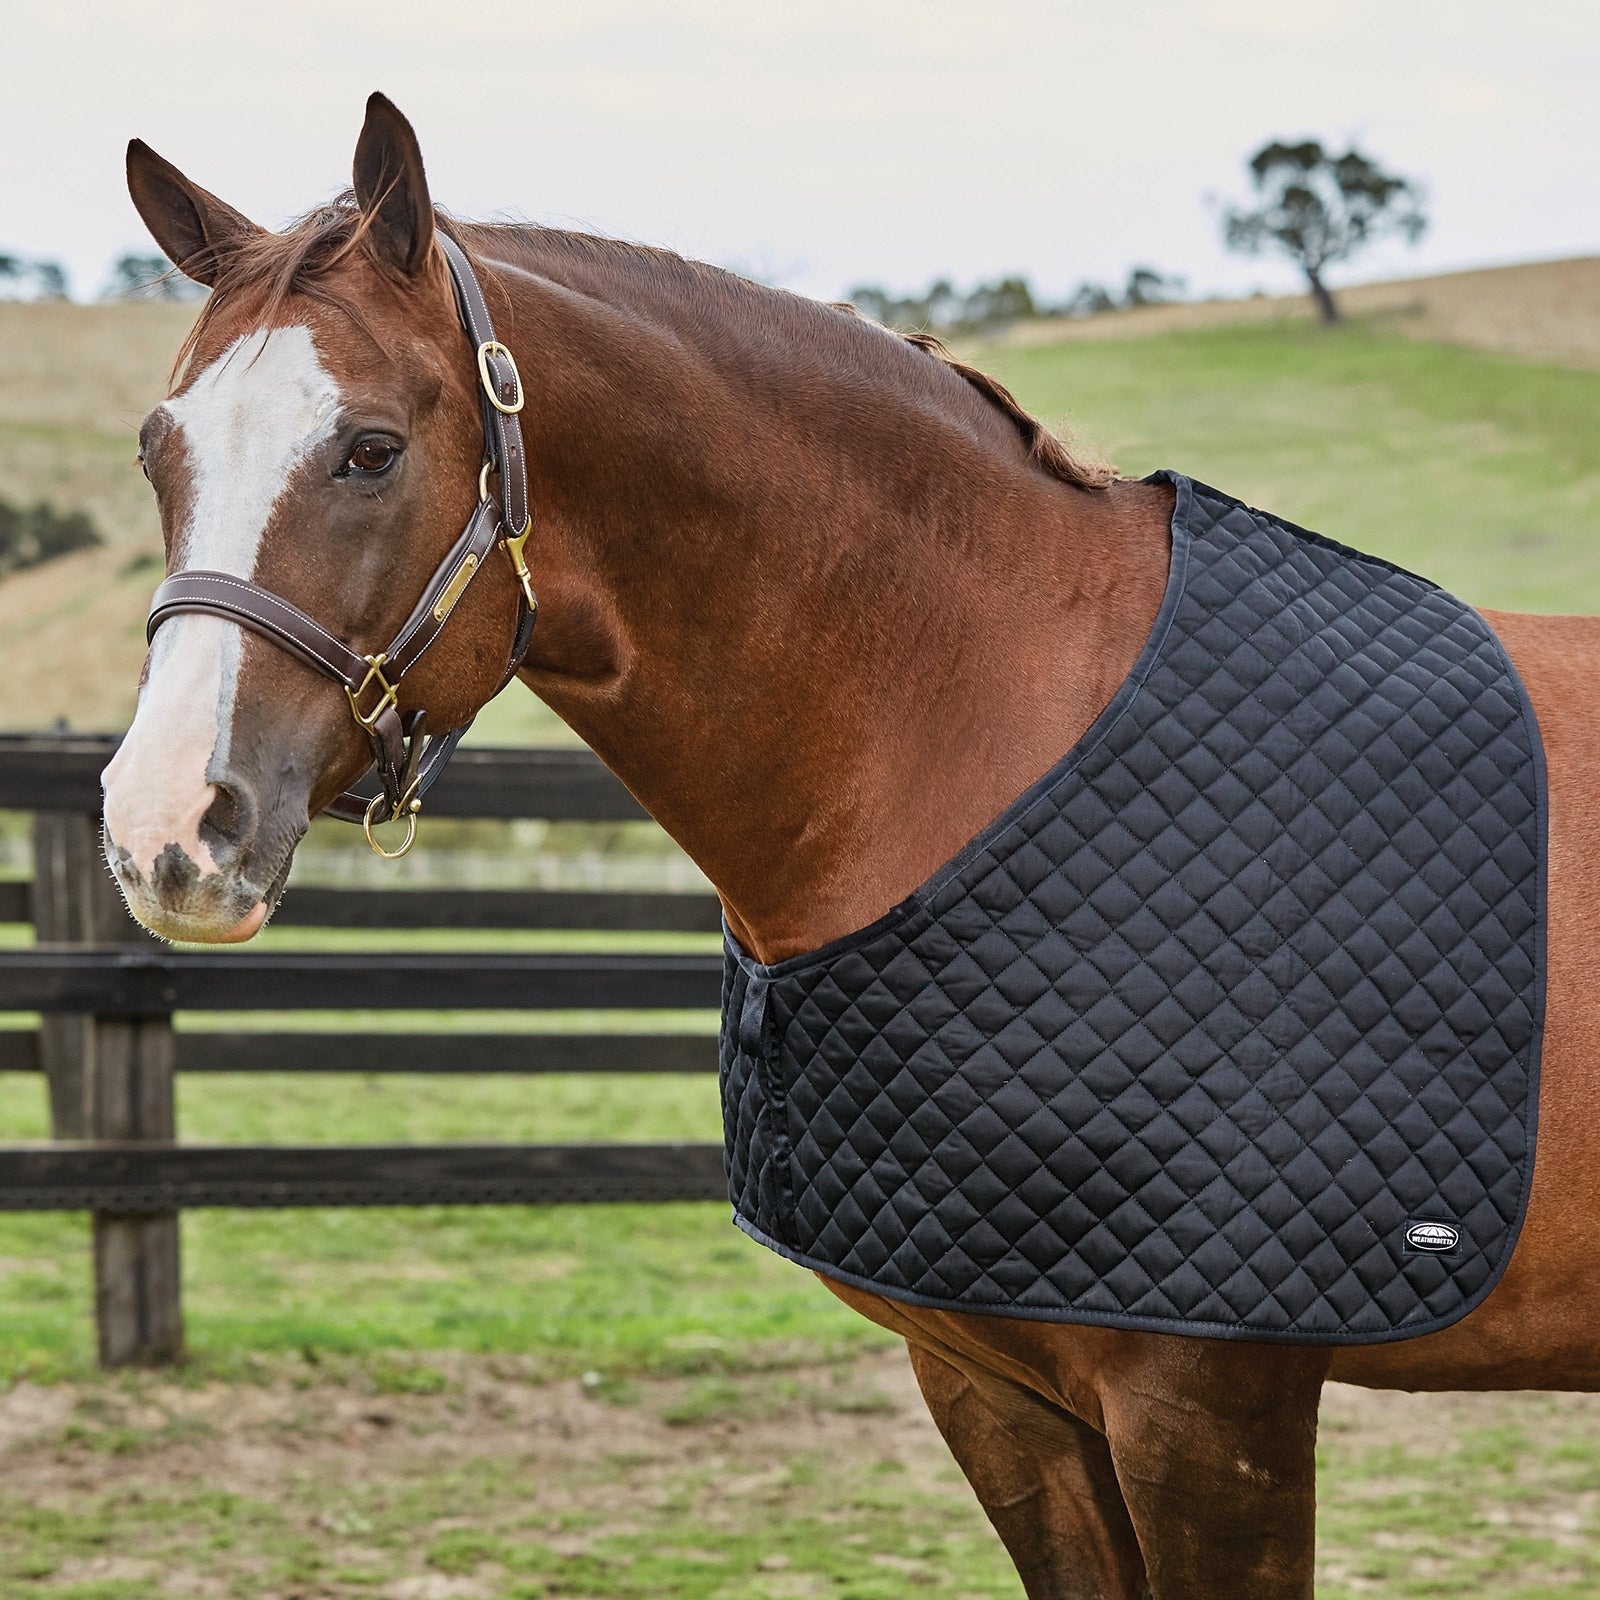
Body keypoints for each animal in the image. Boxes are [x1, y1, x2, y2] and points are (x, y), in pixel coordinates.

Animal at [101, 95, 1600, 1599]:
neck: (991, 725)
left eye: (369, 449)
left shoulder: (1213, 1411)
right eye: (158, 452)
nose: (166, 825)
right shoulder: (997, 1386)